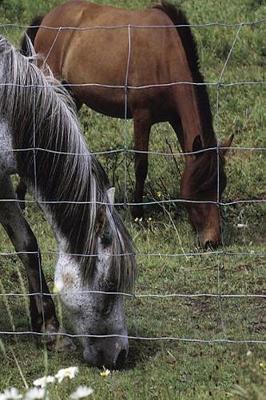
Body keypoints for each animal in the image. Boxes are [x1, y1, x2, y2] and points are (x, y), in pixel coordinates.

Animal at [21, 0, 233, 247]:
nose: (212, 240)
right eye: (200, 189)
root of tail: (47, 17)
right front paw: (137, 215)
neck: (165, 55)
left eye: (221, 186)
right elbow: (141, 164)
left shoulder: (176, 120)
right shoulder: (142, 116)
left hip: (72, 95)